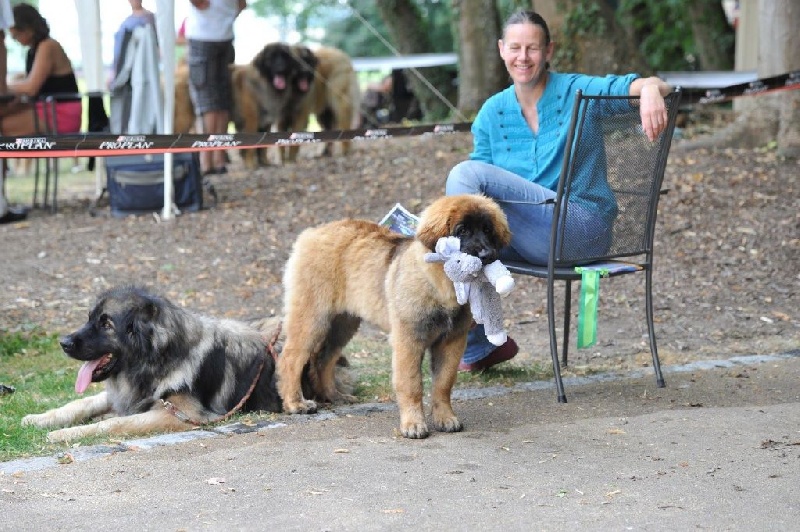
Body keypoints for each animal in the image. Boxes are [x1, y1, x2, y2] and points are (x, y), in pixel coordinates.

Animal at [21, 284, 346, 442]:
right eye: (89, 318)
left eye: (107, 324)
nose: (63, 342)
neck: (157, 357)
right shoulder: (131, 395)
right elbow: (79, 404)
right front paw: (39, 419)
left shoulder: (178, 415)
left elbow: (114, 424)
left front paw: (65, 434)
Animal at [276, 193, 512, 438]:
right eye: (462, 230)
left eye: (487, 230)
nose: (487, 255)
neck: (440, 283)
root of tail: (311, 233)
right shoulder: (408, 340)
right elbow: (411, 384)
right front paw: (413, 424)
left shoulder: (452, 341)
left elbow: (443, 383)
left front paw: (445, 418)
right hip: (313, 317)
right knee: (291, 357)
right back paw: (295, 403)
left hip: (343, 324)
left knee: (324, 359)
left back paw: (335, 396)